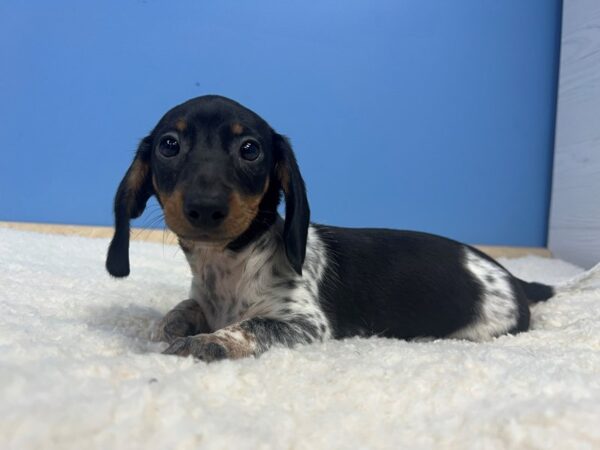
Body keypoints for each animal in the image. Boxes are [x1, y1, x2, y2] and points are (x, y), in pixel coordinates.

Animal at [105, 96, 556, 362]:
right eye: (169, 144)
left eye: (250, 149)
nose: (205, 206)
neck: (233, 265)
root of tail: (514, 279)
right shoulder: (206, 299)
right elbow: (184, 308)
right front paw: (170, 325)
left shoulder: (305, 325)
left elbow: (251, 325)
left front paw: (209, 341)